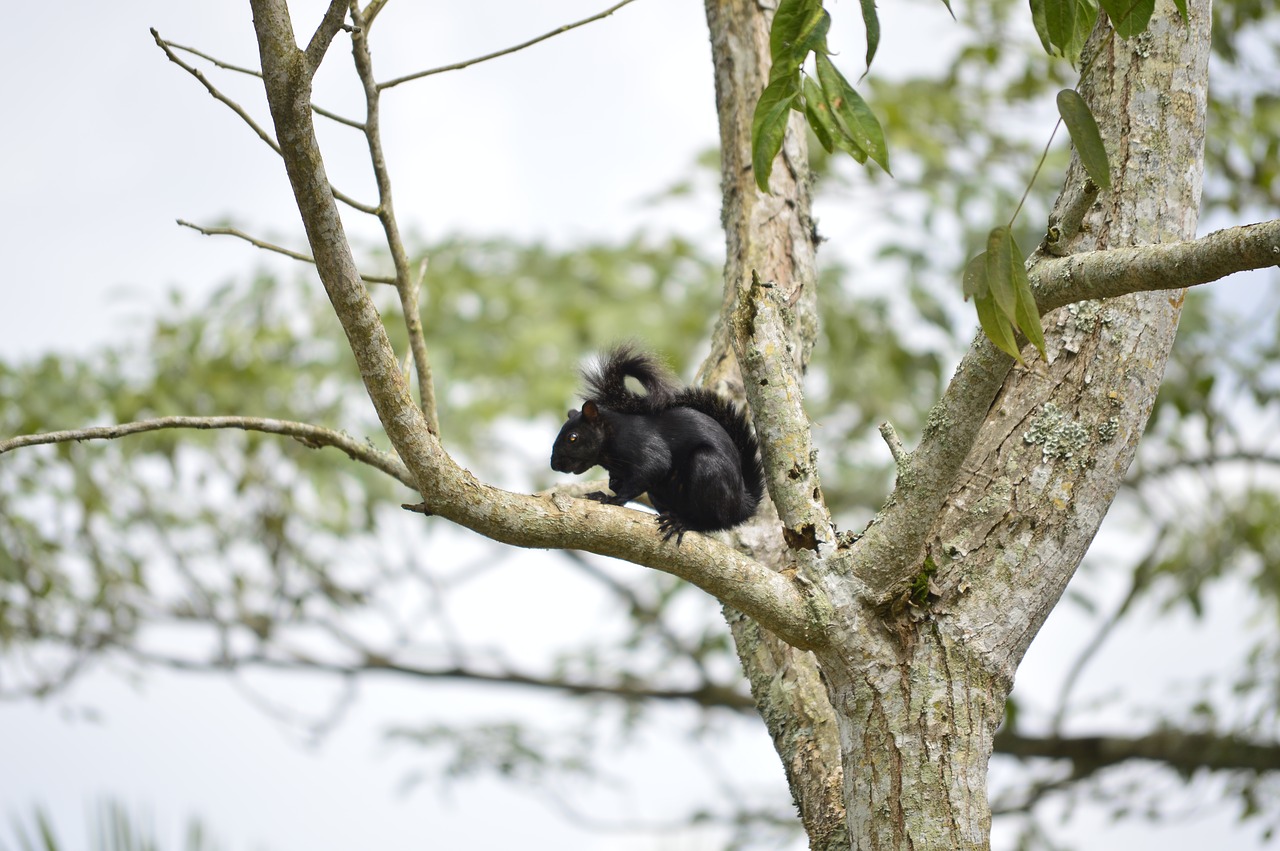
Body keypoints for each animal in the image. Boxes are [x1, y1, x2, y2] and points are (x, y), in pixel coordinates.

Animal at [547, 345, 757, 545]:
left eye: (572, 438)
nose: (554, 464)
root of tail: (741, 506)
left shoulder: (641, 443)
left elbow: (653, 468)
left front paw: (611, 498)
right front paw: (612, 484)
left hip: (707, 466)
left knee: (712, 521)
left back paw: (682, 522)